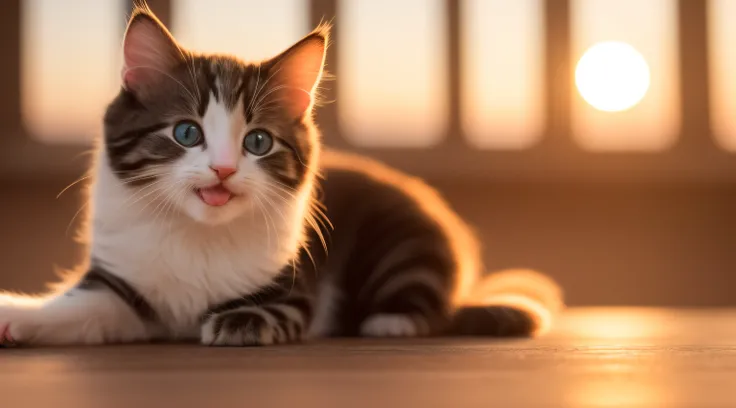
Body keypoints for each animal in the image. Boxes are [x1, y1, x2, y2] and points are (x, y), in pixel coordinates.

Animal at [1, 4, 564, 346]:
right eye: (186, 133)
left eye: (257, 142)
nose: (224, 169)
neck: (197, 235)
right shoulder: (121, 284)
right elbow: (78, 308)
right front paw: (16, 316)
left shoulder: (294, 288)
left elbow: (269, 312)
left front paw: (235, 322)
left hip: (406, 238)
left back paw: (390, 322)